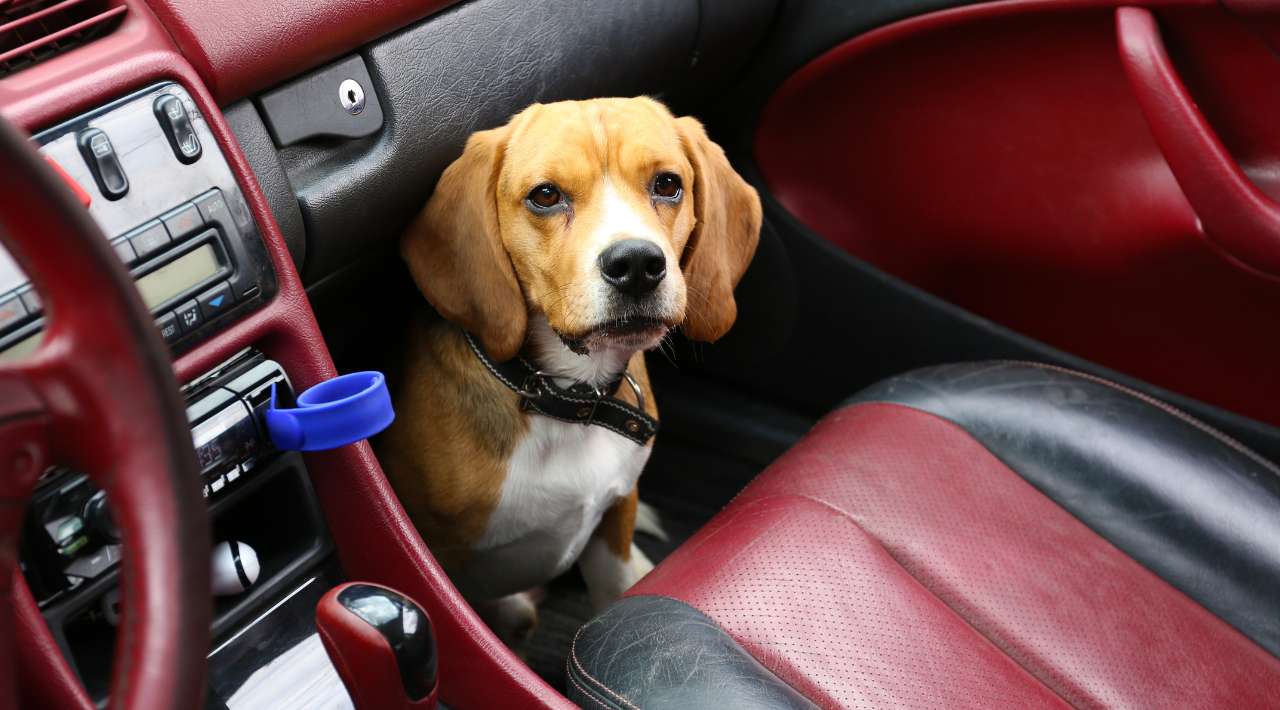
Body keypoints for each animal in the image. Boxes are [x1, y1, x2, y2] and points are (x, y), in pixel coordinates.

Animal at [376, 97, 757, 647]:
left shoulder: (613, 520)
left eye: (668, 184)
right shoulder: (435, 555)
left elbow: (614, 584)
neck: (569, 397)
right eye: (545, 195)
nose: (637, 264)